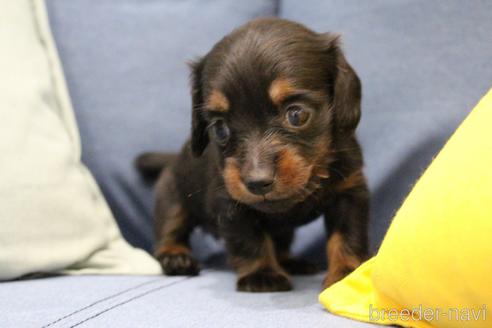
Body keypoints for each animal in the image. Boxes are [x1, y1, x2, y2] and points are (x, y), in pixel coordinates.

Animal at [136, 18, 368, 292]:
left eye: (296, 114)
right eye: (220, 128)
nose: (257, 182)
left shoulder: (350, 192)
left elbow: (347, 236)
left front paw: (346, 274)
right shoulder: (231, 204)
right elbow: (249, 240)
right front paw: (262, 275)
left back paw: (291, 262)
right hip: (171, 194)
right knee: (170, 229)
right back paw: (176, 258)